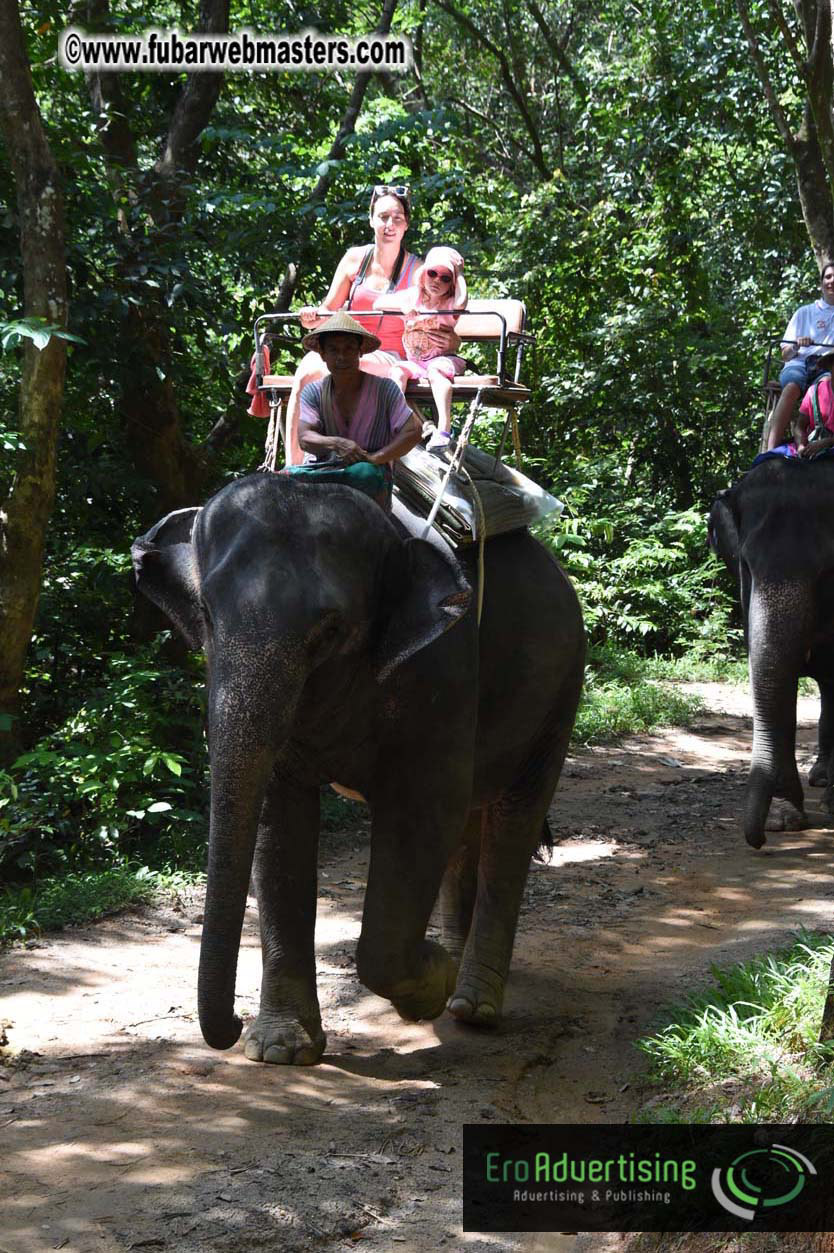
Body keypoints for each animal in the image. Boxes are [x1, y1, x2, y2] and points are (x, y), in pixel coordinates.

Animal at [132, 472, 585, 1064]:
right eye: (206, 613)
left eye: (329, 632)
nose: (230, 1024)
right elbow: (279, 822)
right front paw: (280, 1050)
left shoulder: (443, 671)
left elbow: (424, 815)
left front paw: (429, 986)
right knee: (470, 821)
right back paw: (456, 967)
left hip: (563, 686)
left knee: (514, 821)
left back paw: (472, 1005)